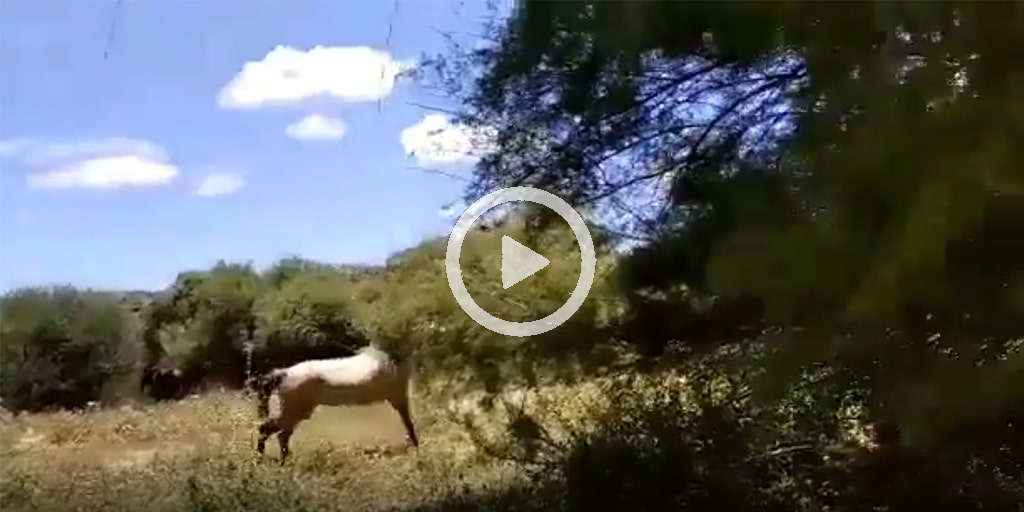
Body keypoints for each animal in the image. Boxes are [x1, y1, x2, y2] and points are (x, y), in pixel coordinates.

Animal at [253, 346, 417, 462]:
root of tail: (284, 373)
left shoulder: (398, 398)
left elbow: (408, 423)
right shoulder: (398, 397)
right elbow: (409, 423)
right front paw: (416, 446)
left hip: (296, 412)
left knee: (277, 433)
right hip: (293, 411)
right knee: (271, 431)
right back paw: (271, 459)